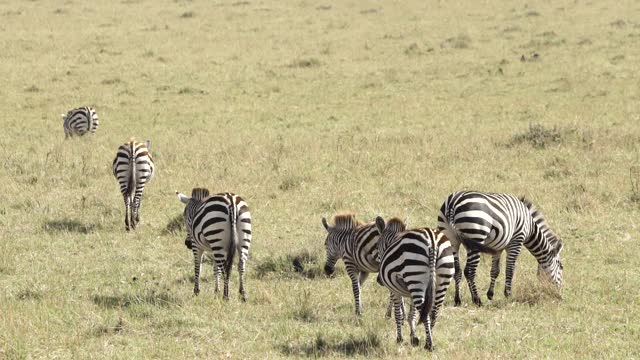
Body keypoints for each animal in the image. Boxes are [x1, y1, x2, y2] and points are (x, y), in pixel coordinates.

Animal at [376, 217, 456, 352]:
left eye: (378, 247)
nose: (379, 280)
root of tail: (432, 240)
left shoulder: (395, 289)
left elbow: (398, 314)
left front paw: (400, 338)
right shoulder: (412, 289)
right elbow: (412, 314)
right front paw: (414, 337)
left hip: (414, 275)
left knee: (426, 314)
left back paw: (429, 345)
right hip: (442, 279)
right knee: (433, 312)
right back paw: (430, 338)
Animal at [436, 191, 564, 306]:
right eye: (561, 266)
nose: (560, 294)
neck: (530, 227)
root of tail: (453, 203)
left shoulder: (497, 248)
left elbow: (495, 271)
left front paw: (490, 294)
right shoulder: (516, 242)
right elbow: (510, 269)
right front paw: (508, 295)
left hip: (452, 239)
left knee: (456, 271)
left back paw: (458, 300)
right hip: (475, 235)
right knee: (470, 271)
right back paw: (477, 300)